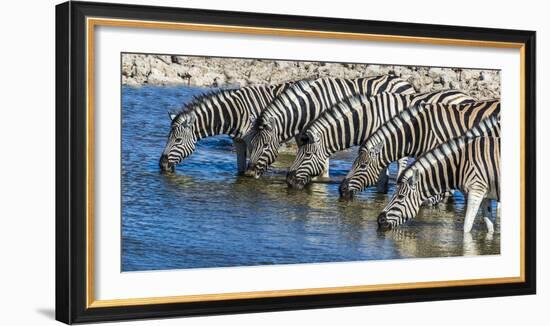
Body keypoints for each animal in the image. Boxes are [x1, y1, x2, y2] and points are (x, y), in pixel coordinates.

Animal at [160, 83, 294, 173]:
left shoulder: (255, 142)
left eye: (178, 140)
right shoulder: (238, 142)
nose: (161, 165)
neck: (237, 113)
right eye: (167, 138)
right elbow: (240, 170)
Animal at [244, 75, 416, 178]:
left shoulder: (323, 132)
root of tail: (405, 82)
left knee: (401, 162)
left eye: (265, 145)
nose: (249, 174)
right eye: (251, 144)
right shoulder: (305, 136)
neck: (310, 107)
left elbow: (323, 162)